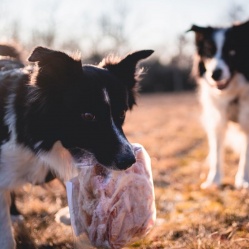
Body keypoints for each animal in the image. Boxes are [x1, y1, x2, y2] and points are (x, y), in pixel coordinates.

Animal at [188, 20, 249, 189]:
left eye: (233, 52)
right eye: (209, 53)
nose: (215, 74)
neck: (233, 95)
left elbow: (246, 155)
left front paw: (243, 180)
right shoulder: (217, 120)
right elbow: (216, 154)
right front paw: (213, 181)